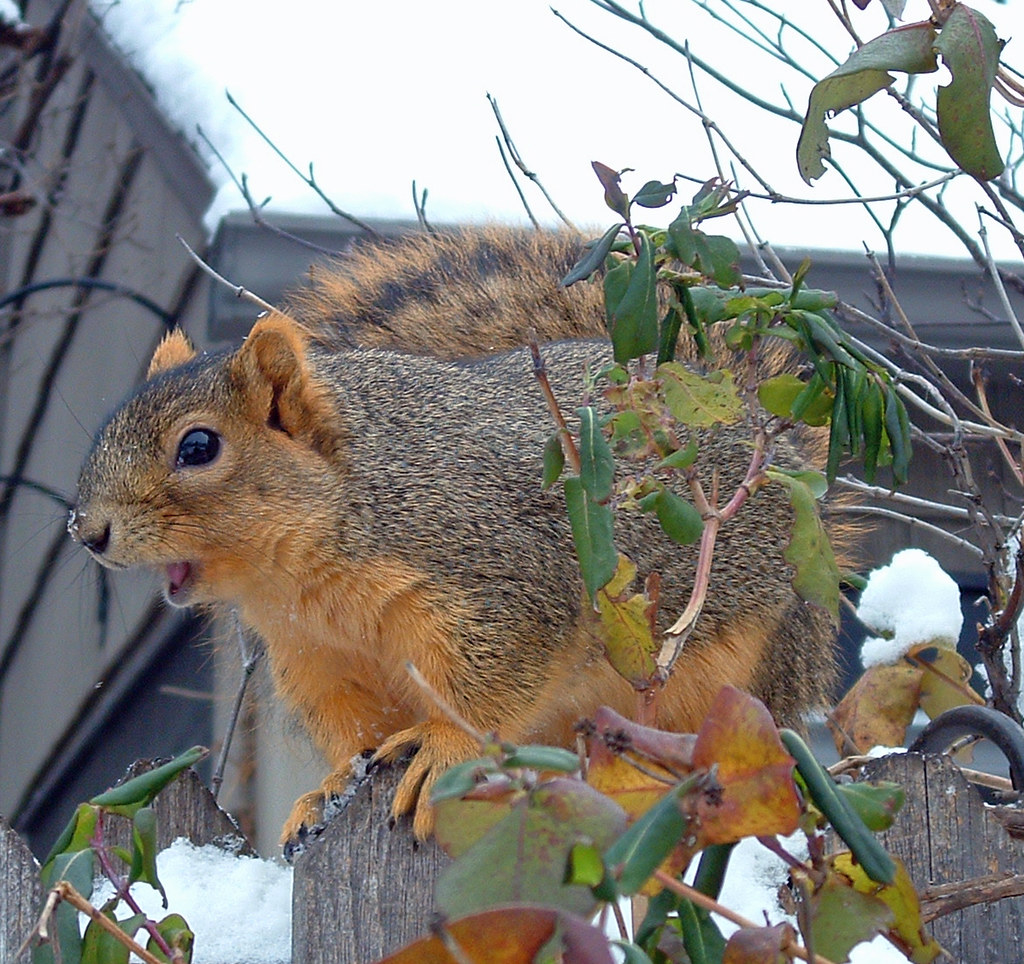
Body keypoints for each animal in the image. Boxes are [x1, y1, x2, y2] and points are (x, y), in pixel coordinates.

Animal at [69, 226, 846, 843]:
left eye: (198, 447)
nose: (86, 531)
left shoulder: (503, 581)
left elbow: (489, 688)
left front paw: (442, 750)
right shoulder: (321, 661)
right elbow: (355, 737)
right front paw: (328, 791)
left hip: (741, 671)